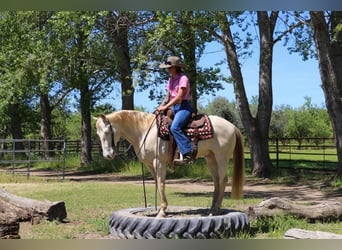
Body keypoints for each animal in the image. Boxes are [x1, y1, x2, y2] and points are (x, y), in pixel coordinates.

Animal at [95, 110, 246, 218]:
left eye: (107, 131)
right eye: (98, 133)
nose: (108, 155)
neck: (145, 131)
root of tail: (232, 126)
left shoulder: (159, 162)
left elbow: (161, 184)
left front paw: (162, 211)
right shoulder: (150, 164)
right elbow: (157, 183)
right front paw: (159, 209)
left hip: (222, 158)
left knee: (223, 180)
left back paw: (216, 210)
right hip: (211, 158)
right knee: (216, 181)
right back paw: (212, 208)